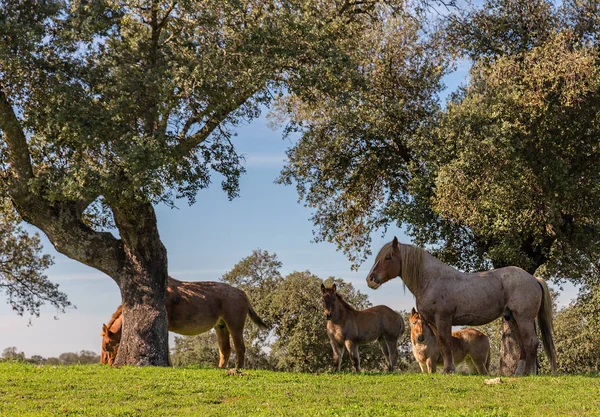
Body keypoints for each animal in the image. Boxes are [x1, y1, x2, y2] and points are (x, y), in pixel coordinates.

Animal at [101, 276, 268, 368]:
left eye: (106, 346)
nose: (103, 363)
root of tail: (242, 293)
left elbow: (166, 348)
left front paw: (169, 365)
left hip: (234, 325)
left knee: (240, 348)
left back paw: (238, 368)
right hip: (221, 326)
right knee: (225, 349)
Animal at [366, 236, 556, 376]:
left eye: (388, 257)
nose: (370, 279)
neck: (432, 280)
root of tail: (533, 279)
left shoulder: (443, 318)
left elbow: (446, 342)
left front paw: (449, 370)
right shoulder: (433, 322)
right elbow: (442, 344)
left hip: (524, 318)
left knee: (531, 343)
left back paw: (528, 373)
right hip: (513, 318)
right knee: (524, 346)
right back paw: (519, 374)